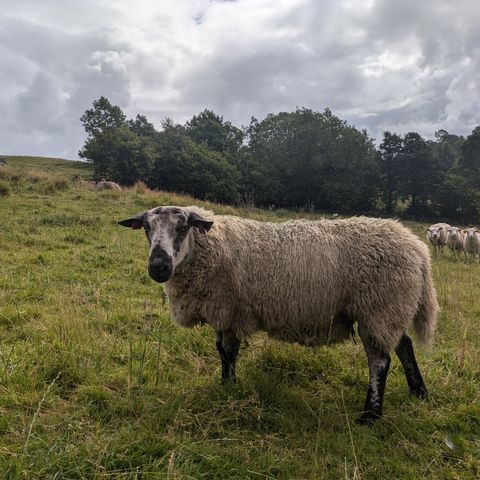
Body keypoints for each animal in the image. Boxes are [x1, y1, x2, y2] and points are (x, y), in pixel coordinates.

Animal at [119, 206, 438, 424]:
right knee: (404, 345)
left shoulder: (232, 311)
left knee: (380, 362)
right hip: (392, 309)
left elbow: (229, 352)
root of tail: (418, 249)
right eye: (146, 227)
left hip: (379, 307)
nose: (158, 266)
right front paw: (224, 385)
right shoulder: (223, 312)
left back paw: (370, 415)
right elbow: (221, 350)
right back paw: (418, 392)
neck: (208, 248)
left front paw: (229, 386)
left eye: (183, 227)